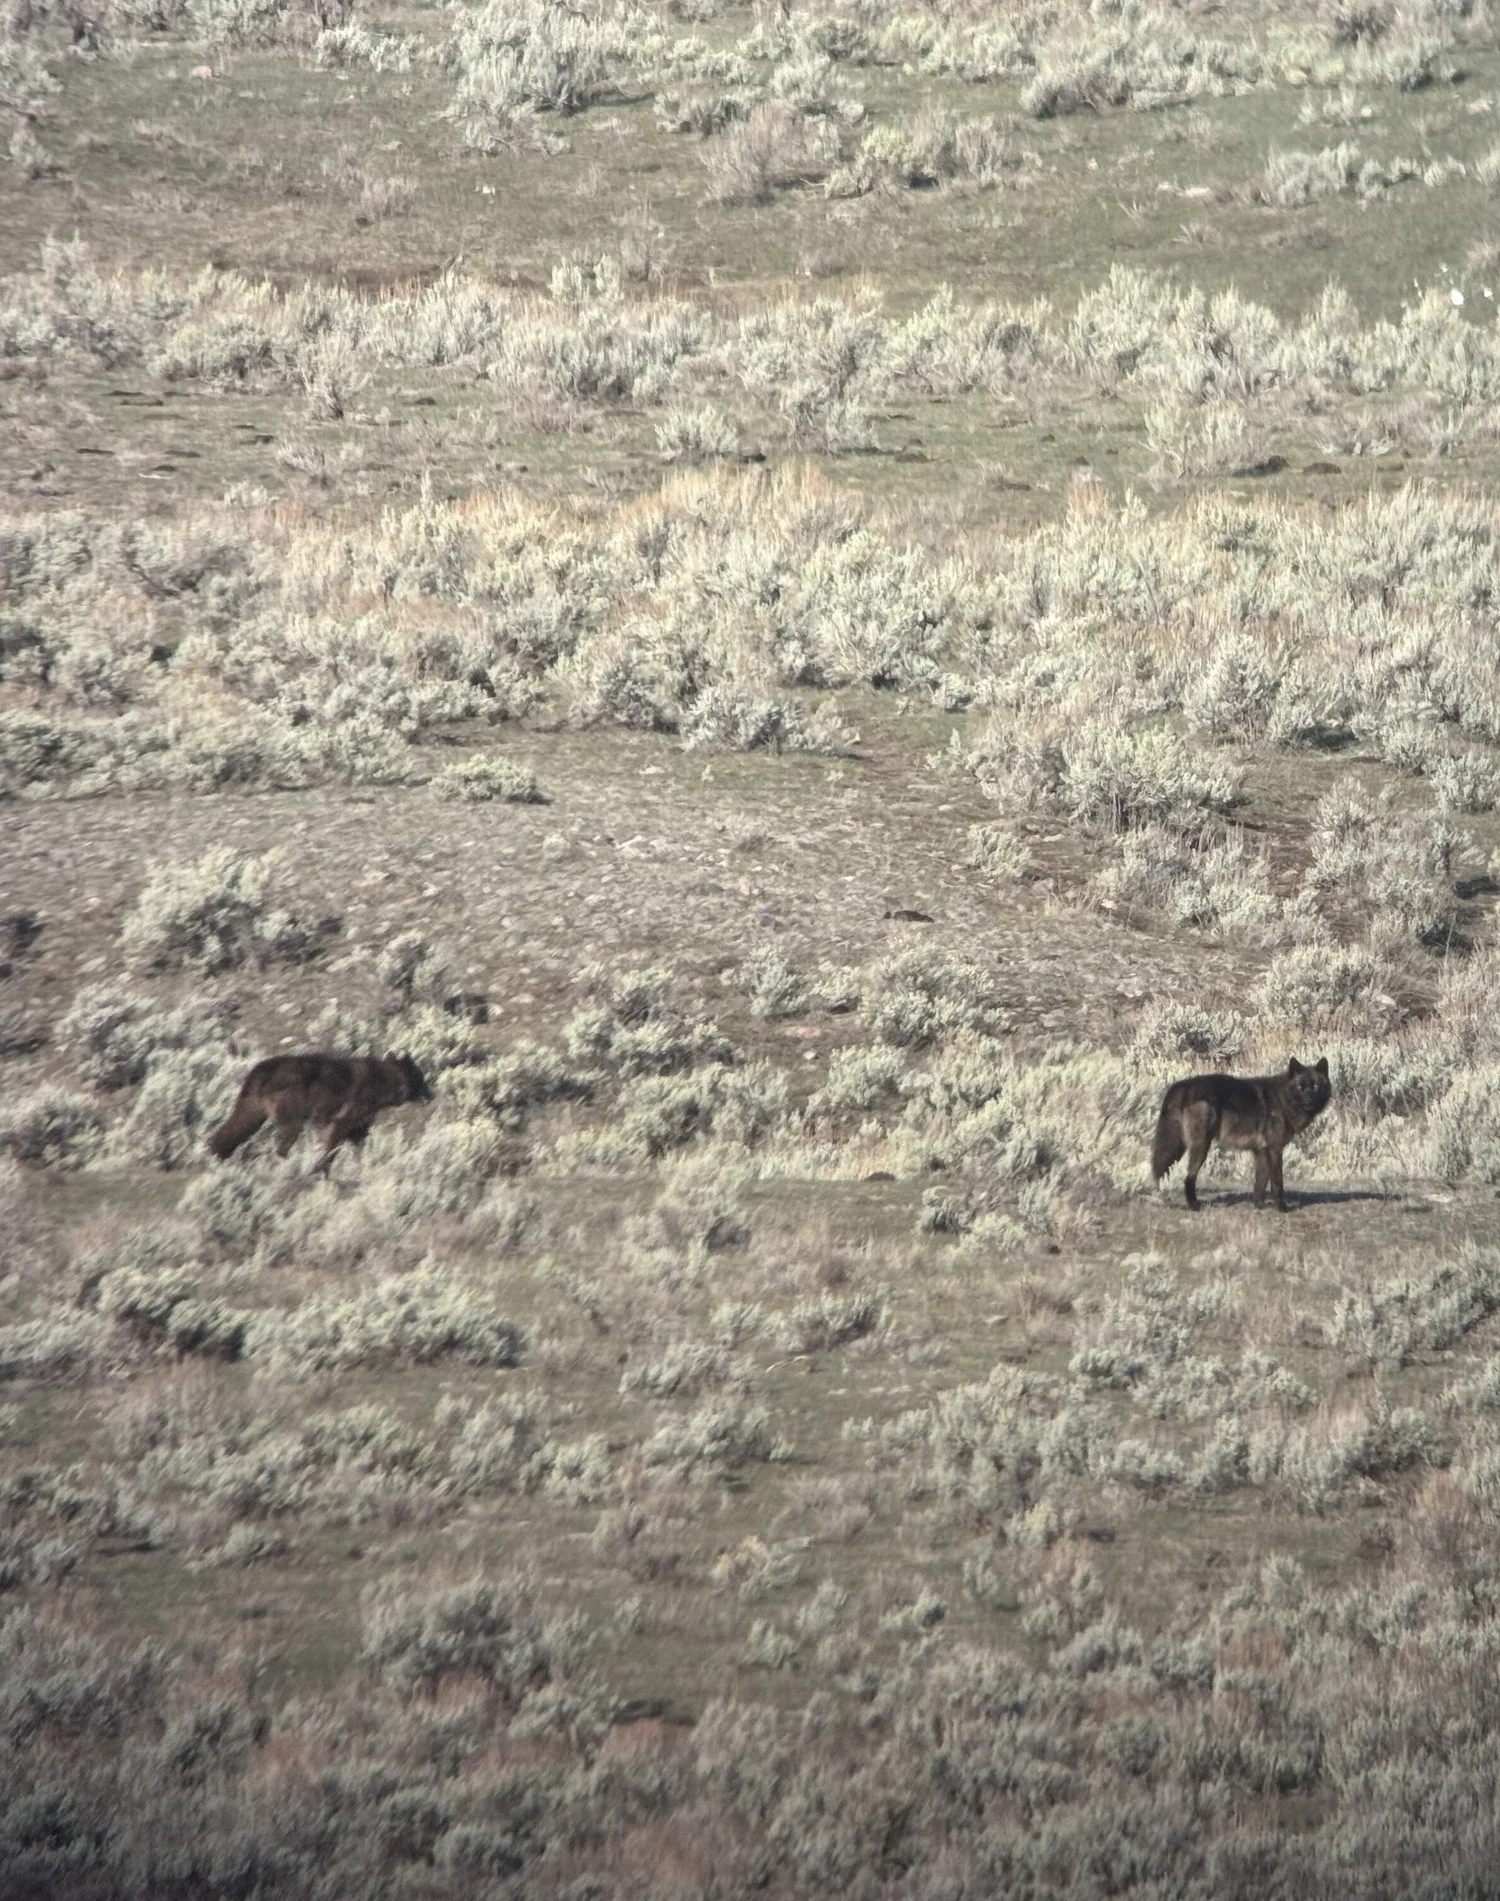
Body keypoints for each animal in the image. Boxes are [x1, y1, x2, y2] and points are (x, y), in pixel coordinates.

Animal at [207, 1052, 433, 1172]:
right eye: (421, 1080)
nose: (431, 1095)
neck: (382, 1082)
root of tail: (261, 1070)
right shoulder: (349, 1110)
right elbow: (335, 1137)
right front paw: (321, 1167)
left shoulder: (360, 1121)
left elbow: (358, 1139)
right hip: (290, 1103)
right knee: (285, 1137)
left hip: (253, 1106)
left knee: (236, 1127)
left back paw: (216, 1153)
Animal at [1151, 1057, 1331, 1212]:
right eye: (1300, 1087)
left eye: (1316, 1086)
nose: (1309, 1102)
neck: (1283, 1099)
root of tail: (1181, 1086)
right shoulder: (1275, 1149)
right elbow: (1277, 1182)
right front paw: (1282, 1208)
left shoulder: (1261, 1151)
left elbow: (1260, 1182)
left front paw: (1258, 1206)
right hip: (1200, 1148)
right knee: (1188, 1178)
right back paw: (1194, 1206)